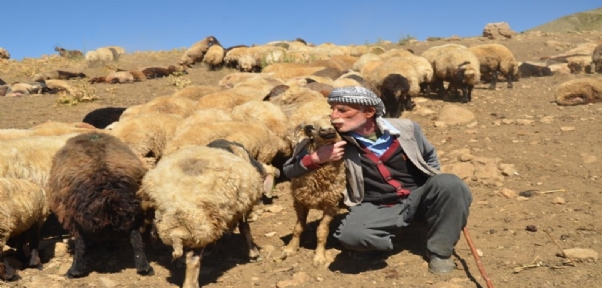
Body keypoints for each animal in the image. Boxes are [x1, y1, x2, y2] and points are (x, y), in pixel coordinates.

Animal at [47, 132, 154, 278]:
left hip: (75, 214)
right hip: (133, 208)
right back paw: (144, 267)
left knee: (80, 243)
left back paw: (75, 271)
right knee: (135, 237)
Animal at [278, 115, 344, 268]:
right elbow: (298, 227)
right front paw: (291, 248)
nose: (328, 130)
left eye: (332, 121)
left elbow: (322, 231)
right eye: (310, 127)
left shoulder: (331, 205)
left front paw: (319, 257)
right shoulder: (300, 202)